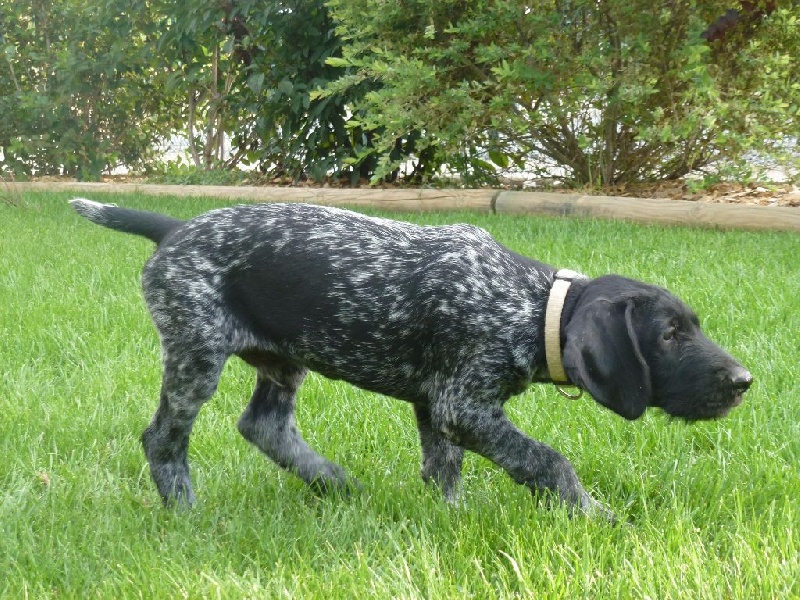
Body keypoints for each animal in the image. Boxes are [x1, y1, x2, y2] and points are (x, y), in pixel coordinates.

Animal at [72, 199, 752, 516]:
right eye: (669, 336)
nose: (744, 381)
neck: (532, 306)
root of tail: (173, 229)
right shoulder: (461, 405)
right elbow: (549, 462)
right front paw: (596, 516)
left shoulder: (436, 406)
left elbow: (442, 471)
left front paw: (451, 520)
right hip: (196, 357)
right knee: (164, 439)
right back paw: (186, 508)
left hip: (283, 357)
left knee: (263, 425)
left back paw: (330, 480)